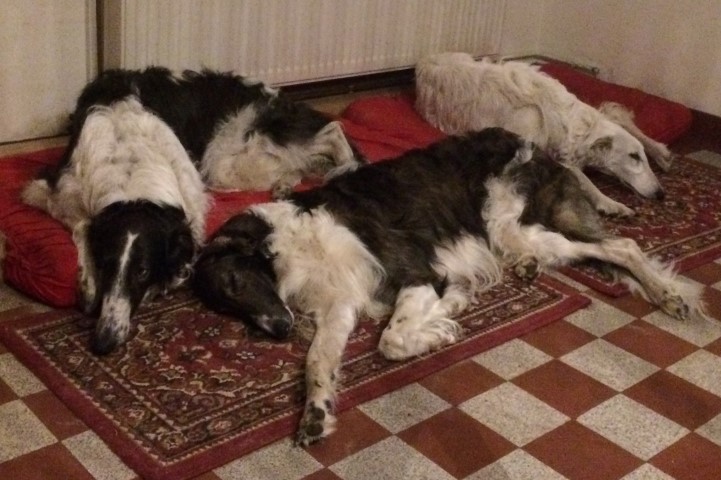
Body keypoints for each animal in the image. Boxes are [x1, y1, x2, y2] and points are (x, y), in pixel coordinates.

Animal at [22, 97, 210, 355]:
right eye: (105, 264)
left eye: (142, 271)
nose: (103, 343)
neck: (132, 189)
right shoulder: (57, 196)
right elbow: (83, 227)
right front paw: (89, 289)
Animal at [192, 127, 705, 445]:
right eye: (225, 309)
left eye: (235, 283)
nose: (278, 330)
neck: (290, 246)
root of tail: (534, 147)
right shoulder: (340, 304)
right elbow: (318, 362)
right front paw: (315, 414)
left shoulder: (416, 273)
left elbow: (393, 340)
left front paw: (439, 328)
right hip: (525, 234)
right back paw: (531, 269)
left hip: (515, 226)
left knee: (624, 245)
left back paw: (670, 297)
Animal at [415, 52, 676, 217]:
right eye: (633, 157)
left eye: (640, 156)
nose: (661, 194)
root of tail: (423, 63)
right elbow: (582, 178)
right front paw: (610, 202)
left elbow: (620, 117)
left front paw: (659, 152)